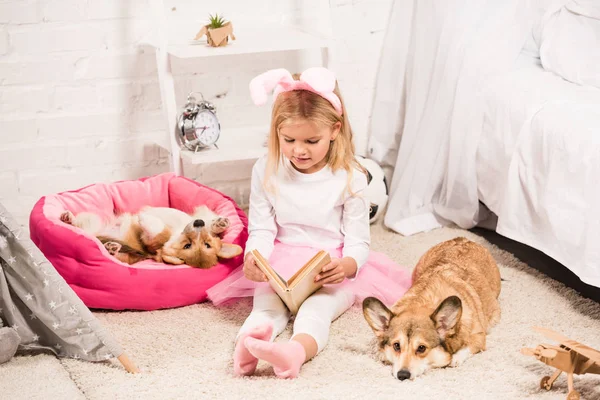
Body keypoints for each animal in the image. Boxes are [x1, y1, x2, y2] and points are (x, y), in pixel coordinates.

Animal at [58, 206, 241, 268]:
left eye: (187, 246)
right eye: (207, 243)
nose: (198, 224)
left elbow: (159, 234)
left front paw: (144, 218)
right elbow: (209, 223)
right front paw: (220, 223)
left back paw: (110, 248)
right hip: (91, 221)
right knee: (79, 224)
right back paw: (67, 218)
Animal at [360, 238, 502, 382]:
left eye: (421, 348)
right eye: (396, 346)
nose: (402, 375)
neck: (421, 302)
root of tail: (463, 239)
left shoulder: (479, 336)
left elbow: (468, 347)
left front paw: (455, 358)